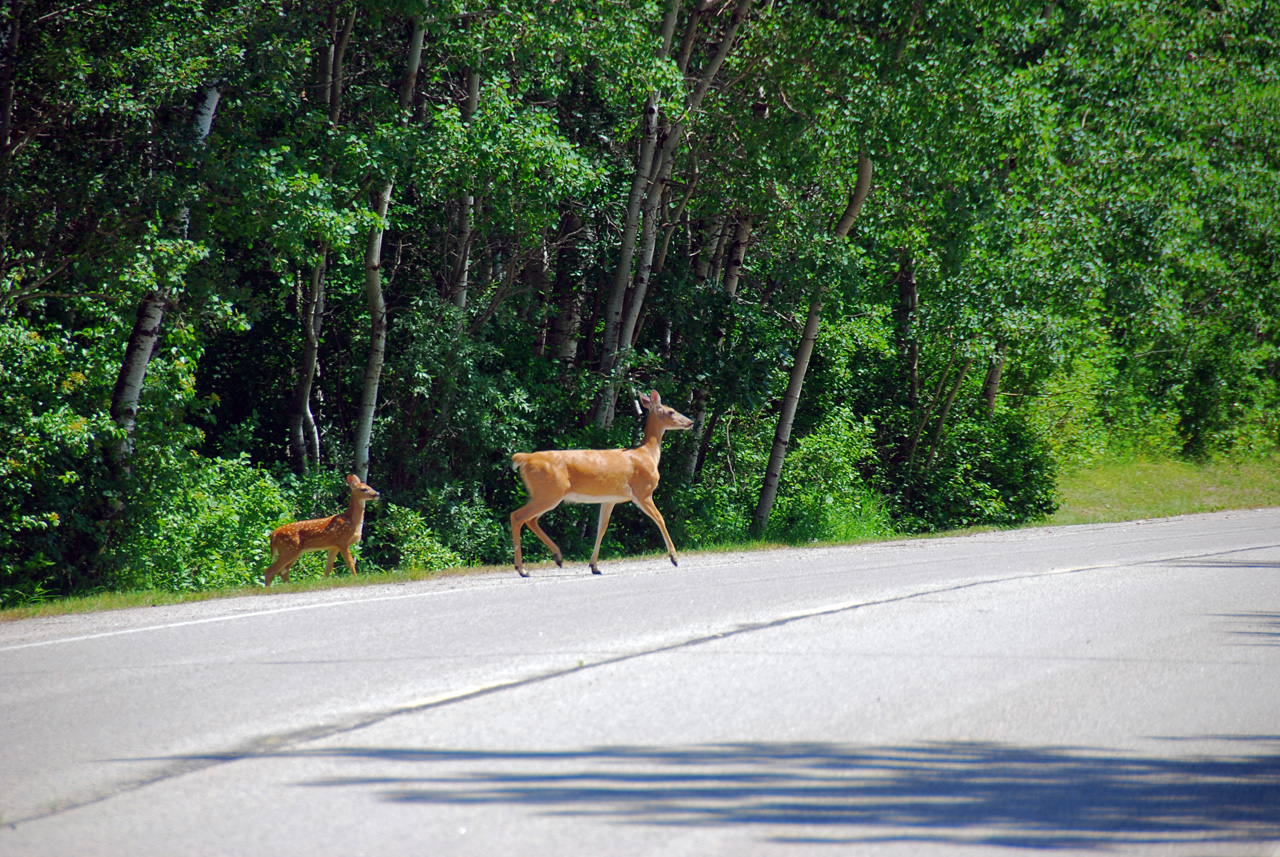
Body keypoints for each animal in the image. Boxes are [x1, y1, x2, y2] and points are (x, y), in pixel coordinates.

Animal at [509, 388, 696, 578]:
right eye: (671, 411)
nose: (691, 422)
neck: (647, 454)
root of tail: (525, 459)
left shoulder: (609, 498)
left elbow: (602, 528)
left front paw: (594, 566)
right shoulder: (642, 492)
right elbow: (660, 518)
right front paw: (674, 558)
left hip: (544, 494)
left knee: (531, 520)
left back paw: (557, 557)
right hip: (550, 492)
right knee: (517, 516)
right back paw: (522, 568)